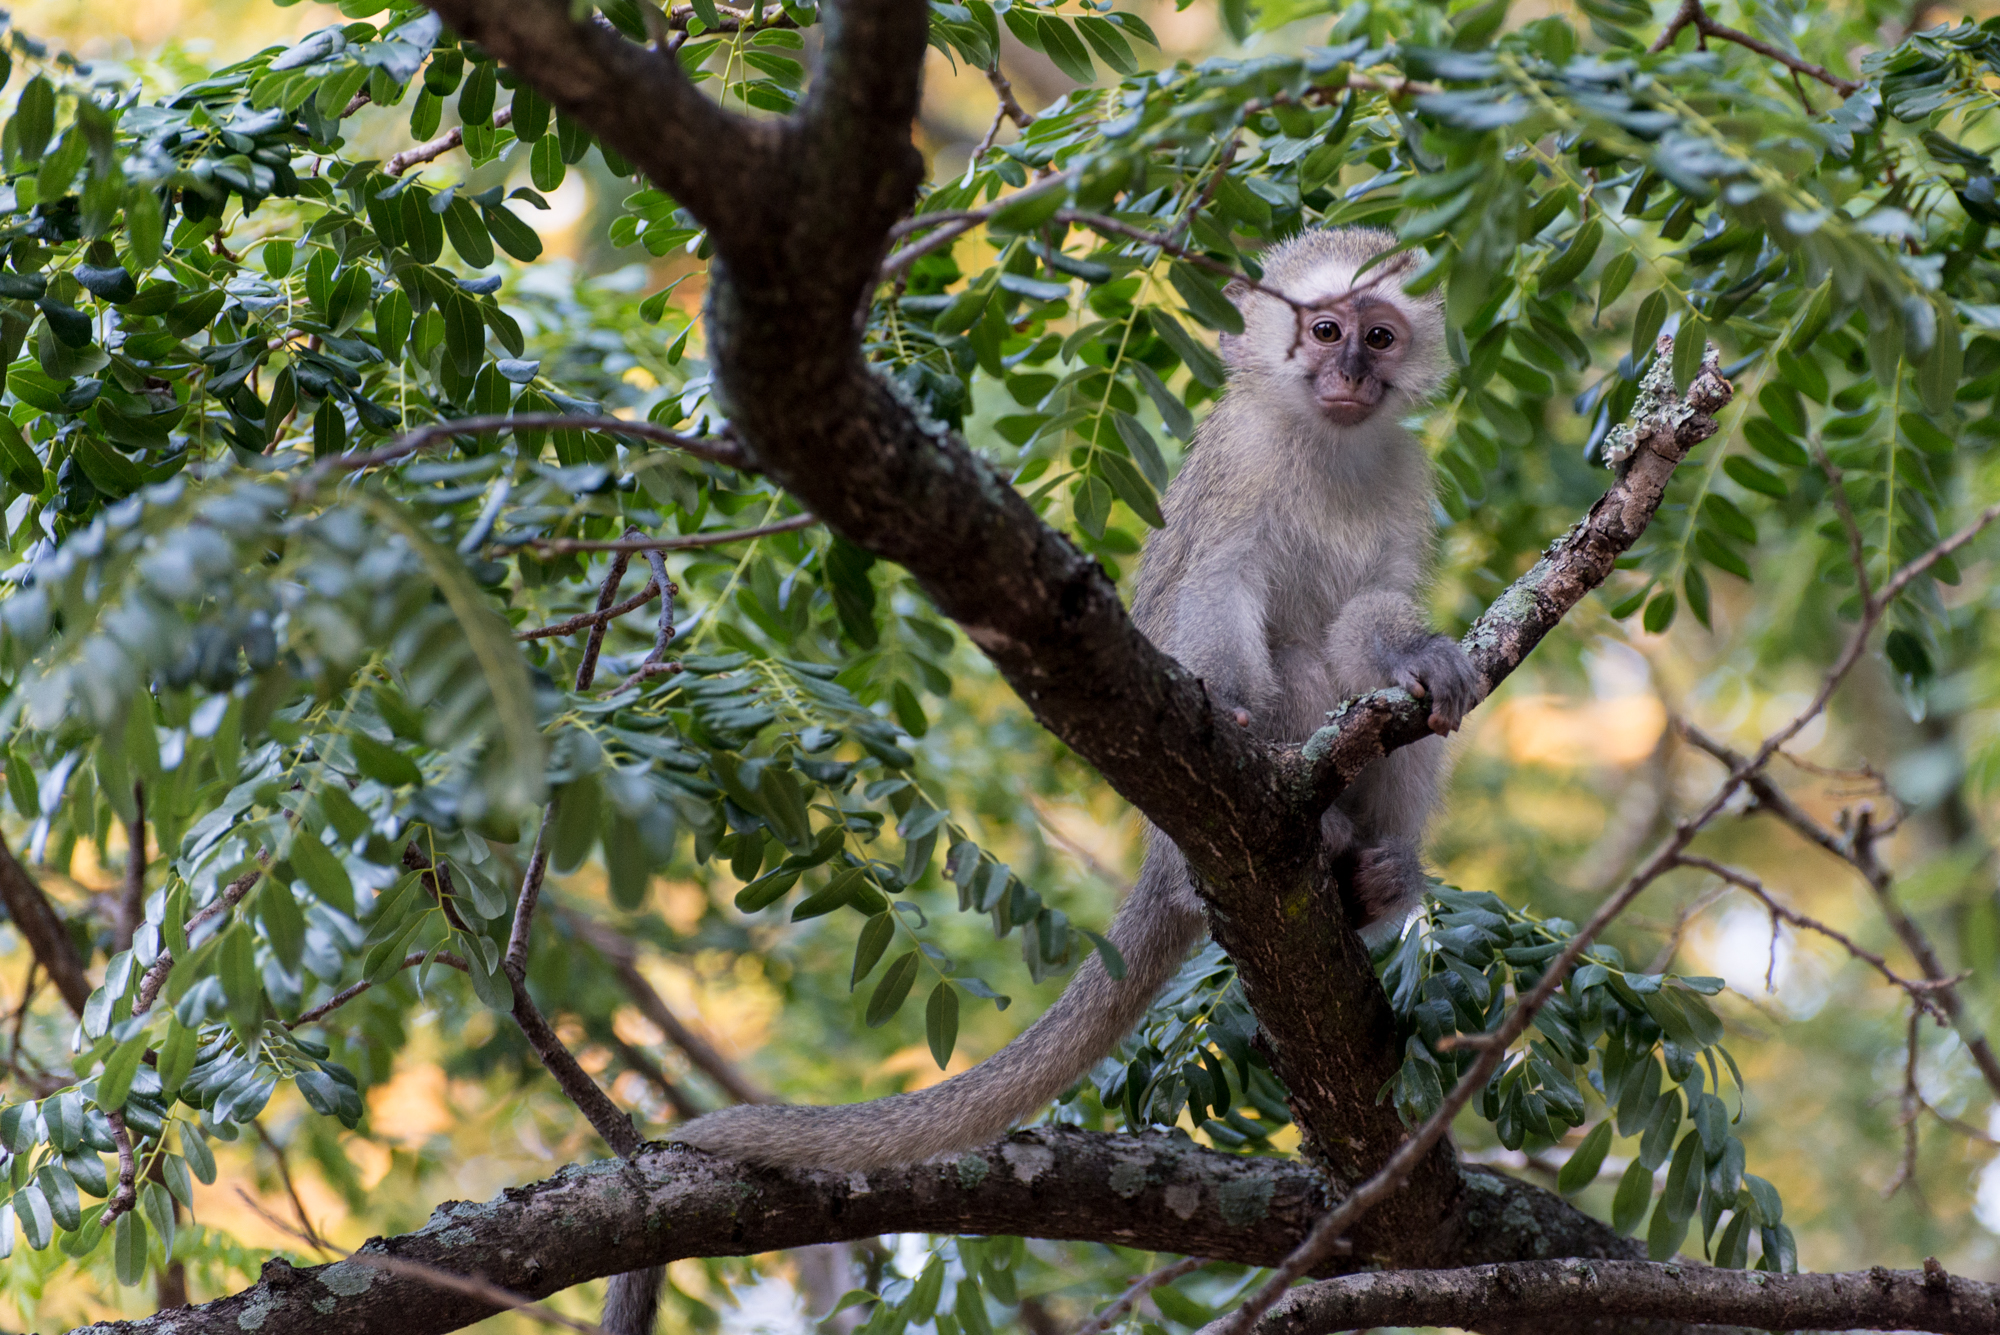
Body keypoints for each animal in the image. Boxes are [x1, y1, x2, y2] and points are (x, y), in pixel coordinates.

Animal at [670, 226, 1477, 1175]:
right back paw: (1324, 837)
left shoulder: (1402, 475)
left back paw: (1373, 880)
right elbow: (1214, 587)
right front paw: (1234, 707)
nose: (1350, 370)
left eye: (1378, 337)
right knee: (1291, 659)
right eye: (1323, 330)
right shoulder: (1239, 464)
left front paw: (1415, 654)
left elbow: (1372, 619)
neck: (1325, 443)